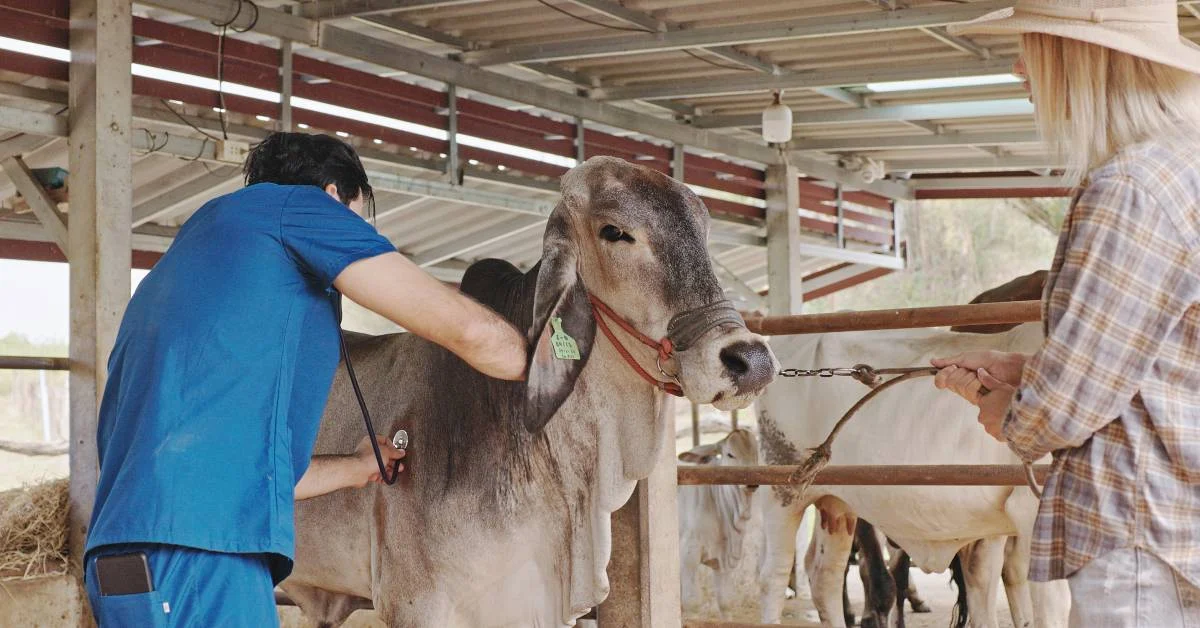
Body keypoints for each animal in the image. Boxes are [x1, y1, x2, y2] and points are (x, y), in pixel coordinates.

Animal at [677, 428, 759, 617]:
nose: (751, 482)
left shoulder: (723, 561)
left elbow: (726, 602)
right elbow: (691, 603)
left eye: (756, 453)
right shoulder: (688, 556)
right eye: (730, 454)